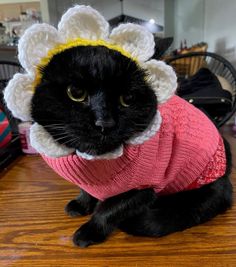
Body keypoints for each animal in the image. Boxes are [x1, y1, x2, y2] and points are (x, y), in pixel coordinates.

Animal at [30, 45, 232, 248]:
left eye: (127, 98)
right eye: (76, 92)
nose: (104, 123)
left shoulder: (143, 189)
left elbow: (108, 210)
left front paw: (89, 232)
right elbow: (85, 190)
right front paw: (81, 204)